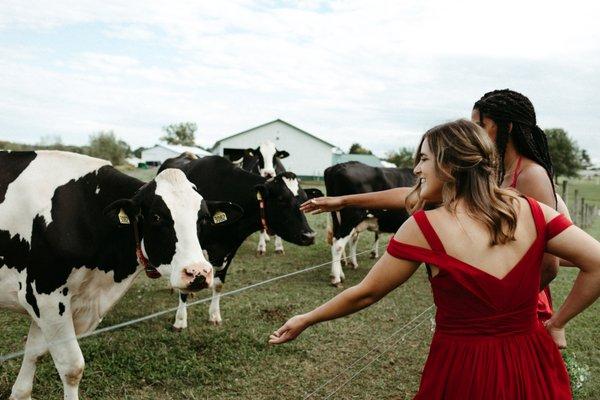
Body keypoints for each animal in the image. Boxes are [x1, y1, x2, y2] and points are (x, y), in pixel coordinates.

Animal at [2, 151, 241, 400]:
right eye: (156, 217)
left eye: (202, 218)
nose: (198, 272)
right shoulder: (45, 295)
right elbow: (72, 367)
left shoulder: (45, 304)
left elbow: (34, 352)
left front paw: (19, 393)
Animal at [157, 155, 322, 330]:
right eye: (281, 199)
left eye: (305, 200)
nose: (309, 235)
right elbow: (184, 290)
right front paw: (180, 321)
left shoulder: (230, 250)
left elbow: (219, 284)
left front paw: (214, 315)